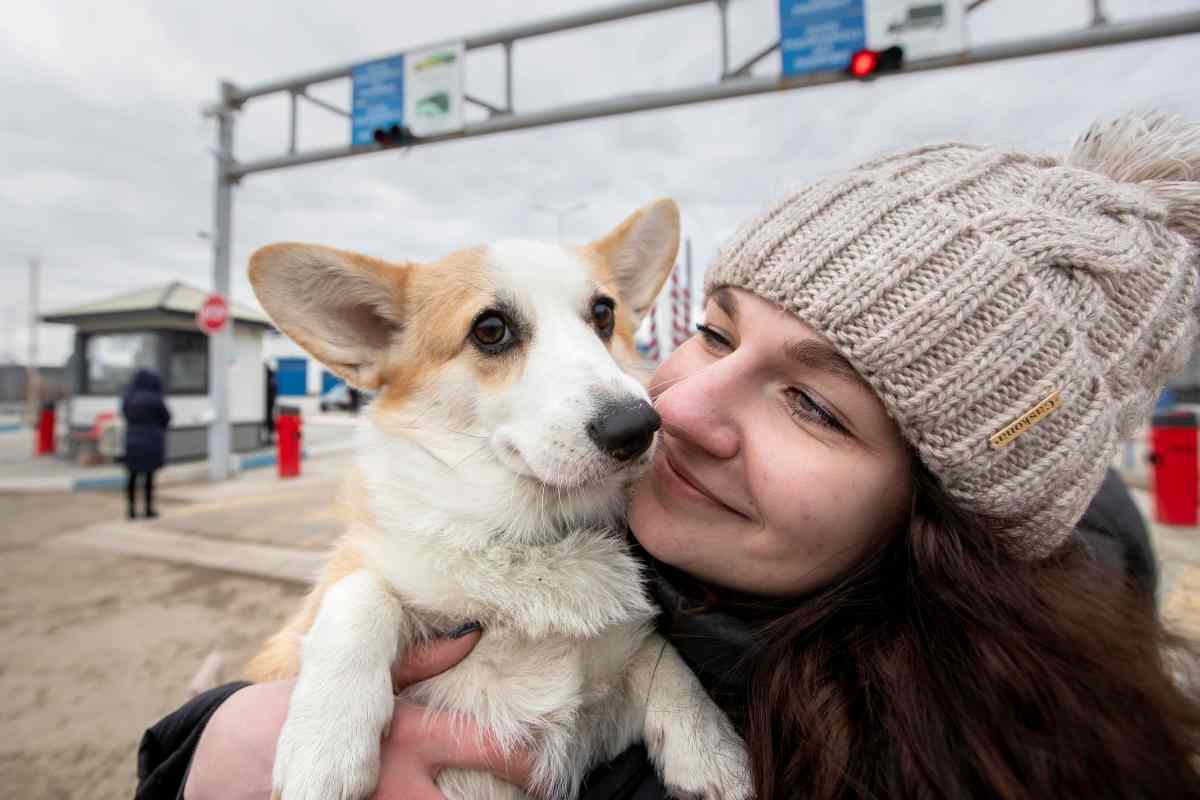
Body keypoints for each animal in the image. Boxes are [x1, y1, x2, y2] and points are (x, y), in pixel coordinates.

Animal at [243, 199, 748, 800]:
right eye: (490, 329)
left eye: (603, 314)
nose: (638, 426)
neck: (528, 543)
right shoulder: (312, 621)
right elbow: (361, 592)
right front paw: (325, 745)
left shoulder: (594, 725)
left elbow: (661, 657)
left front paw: (710, 747)